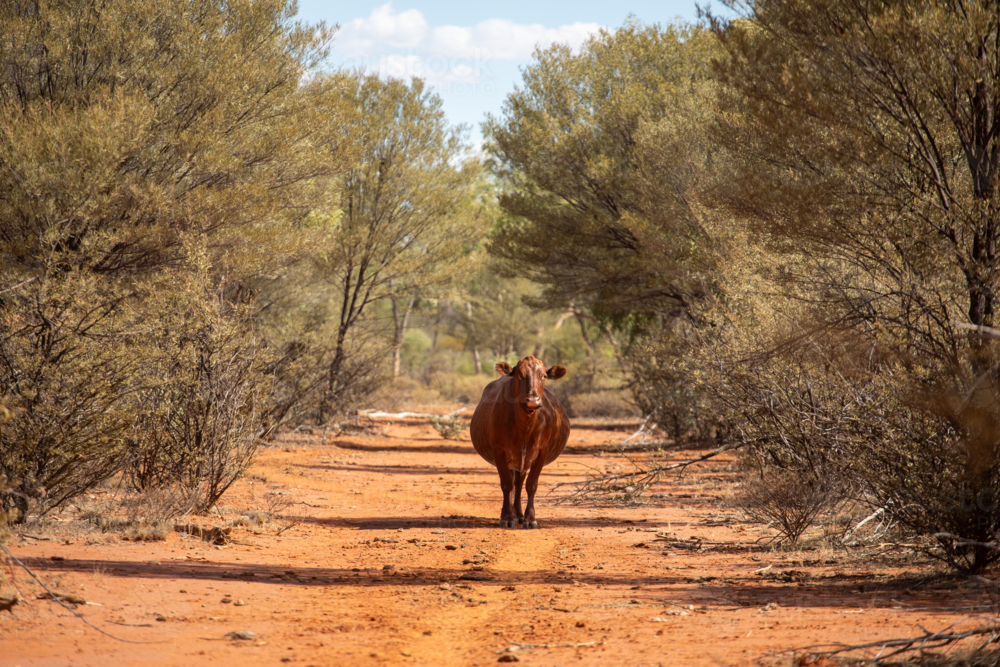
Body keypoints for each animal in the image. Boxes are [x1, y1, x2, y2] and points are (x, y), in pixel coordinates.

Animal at [470, 356, 570, 528]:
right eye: (519, 375)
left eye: (543, 376)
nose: (532, 400)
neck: (526, 426)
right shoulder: (499, 452)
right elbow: (506, 484)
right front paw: (507, 517)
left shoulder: (541, 452)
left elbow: (531, 485)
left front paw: (530, 518)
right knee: (512, 484)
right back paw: (512, 514)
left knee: (519, 483)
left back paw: (519, 514)